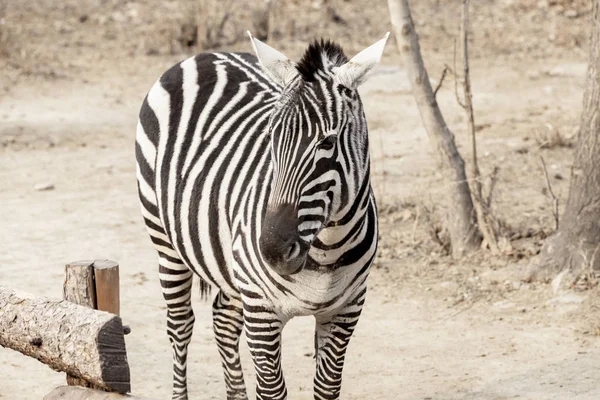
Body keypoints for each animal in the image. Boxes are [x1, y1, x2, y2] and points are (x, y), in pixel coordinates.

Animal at [135, 32, 390, 400]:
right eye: (270, 137)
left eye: (327, 142)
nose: (272, 251)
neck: (327, 250)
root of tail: (206, 55)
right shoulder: (261, 312)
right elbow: (271, 390)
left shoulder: (345, 311)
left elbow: (327, 387)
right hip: (165, 240)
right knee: (180, 326)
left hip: (228, 264)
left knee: (223, 321)